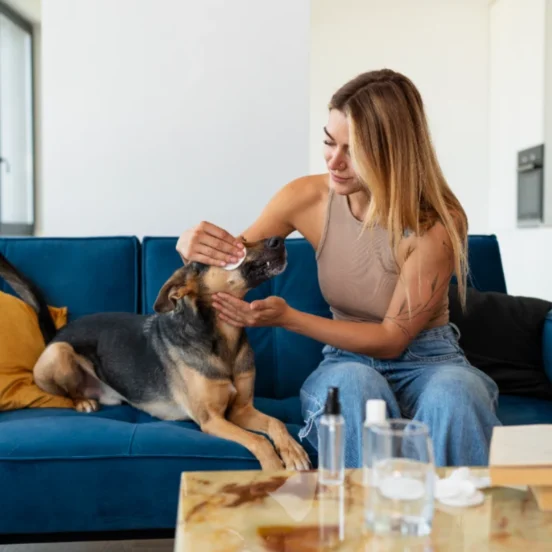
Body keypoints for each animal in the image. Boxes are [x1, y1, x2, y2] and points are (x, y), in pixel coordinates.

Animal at [0, 237, 310, 470]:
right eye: (234, 244)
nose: (279, 240)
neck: (222, 338)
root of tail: (57, 334)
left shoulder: (241, 409)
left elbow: (276, 423)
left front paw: (293, 451)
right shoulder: (212, 420)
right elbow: (258, 441)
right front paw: (274, 467)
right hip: (60, 352)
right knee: (68, 390)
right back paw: (82, 402)